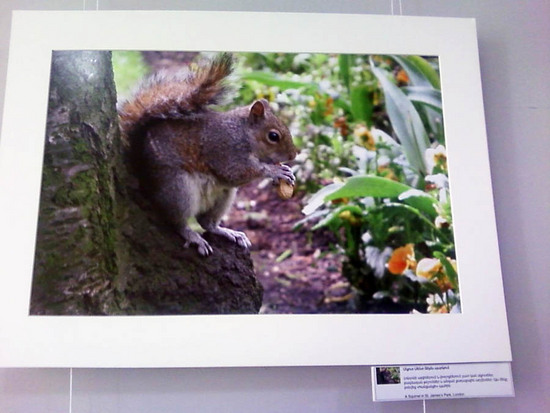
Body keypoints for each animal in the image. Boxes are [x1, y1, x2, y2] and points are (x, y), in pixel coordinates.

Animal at [117, 53, 298, 254]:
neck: (242, 133)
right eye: (273, 136)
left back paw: (228, 232)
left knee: (206, 223)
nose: (293, 155)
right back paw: (192, 236)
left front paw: (286, 171)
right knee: (176, 221)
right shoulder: (224, 149)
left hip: (224, 196)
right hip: (178, 189)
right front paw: (275, 171)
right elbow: (236, 172)